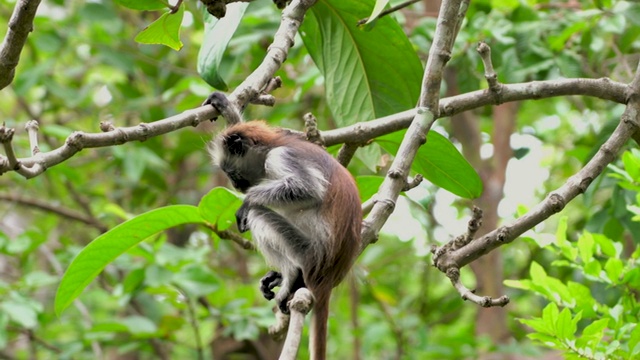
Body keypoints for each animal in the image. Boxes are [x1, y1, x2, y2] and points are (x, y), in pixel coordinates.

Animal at [206, 91, 364, 358]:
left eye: (231, 173)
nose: (236, 186)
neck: (275, 143)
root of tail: (328, 275)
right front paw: (225, 105)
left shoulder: (279, 157)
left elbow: (307, 188)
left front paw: (248, 200)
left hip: (309, 251)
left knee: (257, 215)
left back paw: (291, 276)